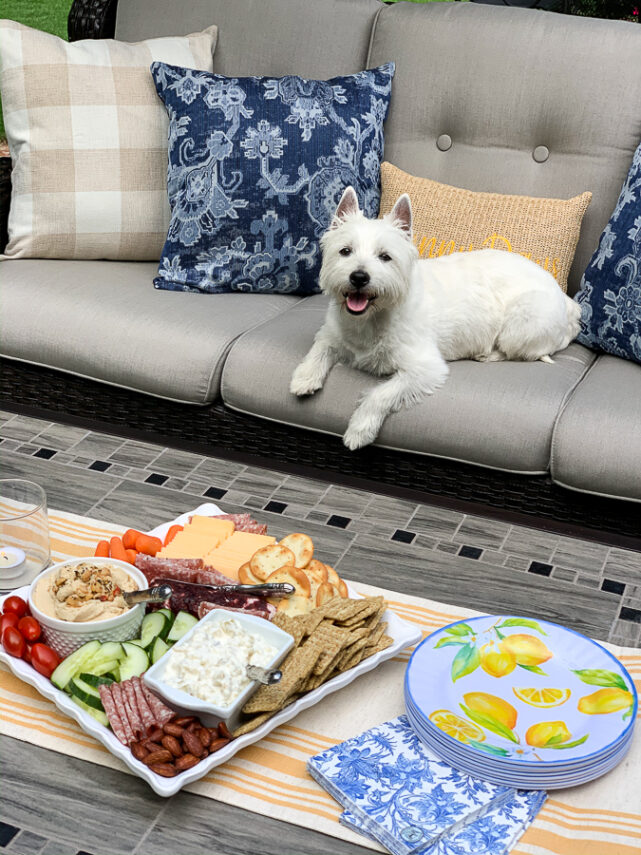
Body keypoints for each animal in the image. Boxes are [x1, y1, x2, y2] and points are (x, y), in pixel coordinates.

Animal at [290, 189, 580, 454]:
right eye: (345, 251)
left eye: (385, 256)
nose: (359, 277)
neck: (371, 318)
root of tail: (568, 304)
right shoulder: (331, 333)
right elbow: (320, 349)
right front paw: (304, 379)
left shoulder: (425, 369)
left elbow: (381, 393)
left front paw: (359, 429)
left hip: (520, 323)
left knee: (522, 352)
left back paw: (487, 354)